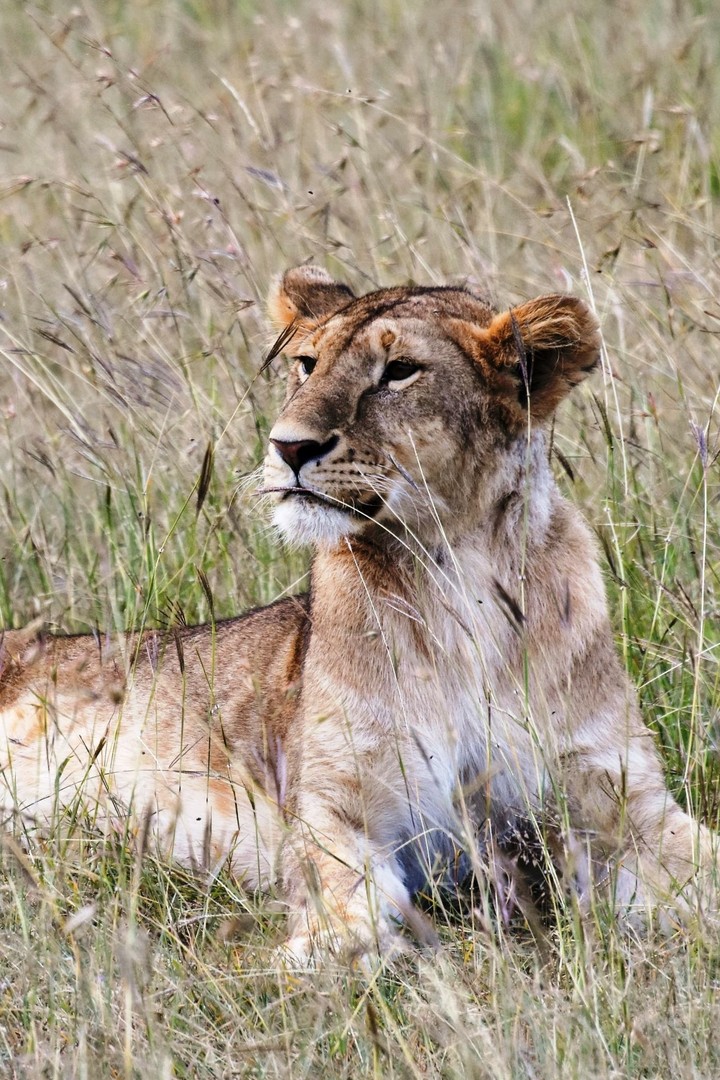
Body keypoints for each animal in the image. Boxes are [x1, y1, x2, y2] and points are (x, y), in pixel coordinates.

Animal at [0, 265, 716, 961]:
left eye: (399, 371)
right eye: (307, 364)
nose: (288, 447)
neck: (458, 573)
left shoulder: (622, 800)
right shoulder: (334, 806)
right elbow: (347, 907)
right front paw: (332, 949)